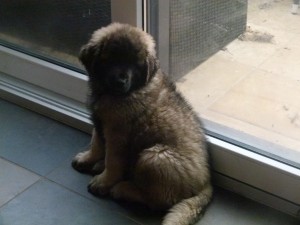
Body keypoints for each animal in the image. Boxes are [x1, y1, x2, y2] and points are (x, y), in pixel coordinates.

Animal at [72, 22, 213, 225]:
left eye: (136, 64)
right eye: (111, 58)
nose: (121, 81)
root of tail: (206, 183)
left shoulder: (117, 136)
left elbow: (112, 162)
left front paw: (103, 182)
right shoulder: (100, 122)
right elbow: (96, 143)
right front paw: (88, 158)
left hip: (153, 158)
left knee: (158, 200)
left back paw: (121, 188)